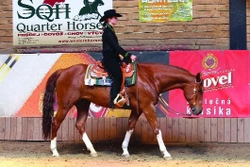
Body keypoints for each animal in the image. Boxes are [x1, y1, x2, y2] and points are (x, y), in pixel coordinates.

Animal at [42, 62, 203, 159]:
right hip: (65, 105)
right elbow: (157, 129)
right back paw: (55, 151)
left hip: (83, 104)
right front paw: (166, 153)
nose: (198, 111)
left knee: (80, 125)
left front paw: (125, 150)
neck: (150, 77)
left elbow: (130, 127)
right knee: (55, 123)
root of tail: (64, 71)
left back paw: (93, 151)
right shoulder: (148, 107)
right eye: (200, 90)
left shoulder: (138, 110)